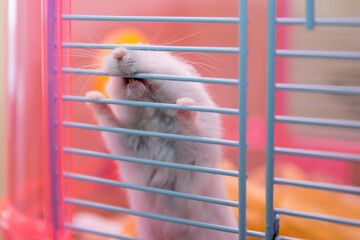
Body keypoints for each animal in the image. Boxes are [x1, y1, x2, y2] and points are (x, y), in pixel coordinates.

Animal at [86, 45, 239, 240]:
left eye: (150, 51)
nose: (118, 53)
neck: (151, 113)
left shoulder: (199, 149)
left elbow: (191, 130)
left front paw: (184, 104)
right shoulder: (126, 141)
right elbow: (110, 121)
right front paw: (93, 97)